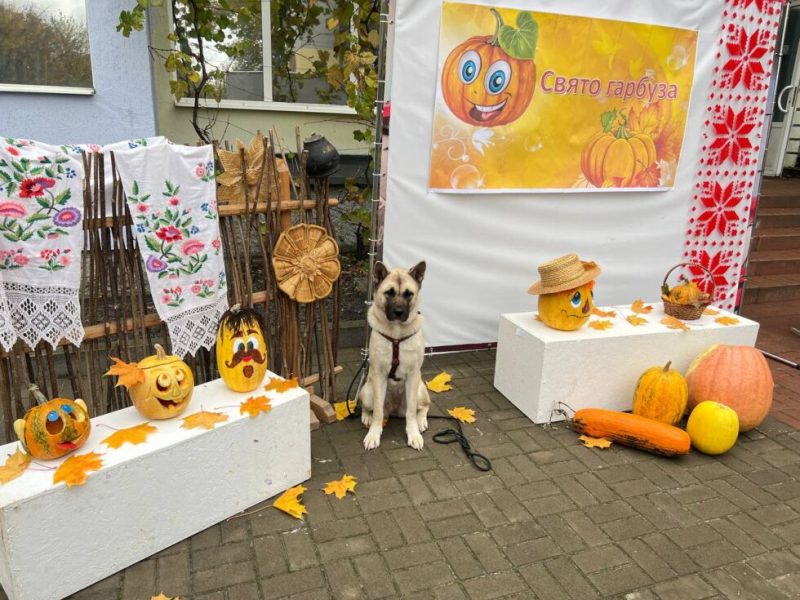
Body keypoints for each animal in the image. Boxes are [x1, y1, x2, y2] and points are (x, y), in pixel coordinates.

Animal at [360, 260, 432, 448]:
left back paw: (421, 421)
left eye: (408, 294)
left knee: (423, 407)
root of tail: (393, 410)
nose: (399, 312)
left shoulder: (413, 375)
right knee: (368, 407)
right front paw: (374, 434)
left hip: (419, 390)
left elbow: (411, 413)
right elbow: (377, 413)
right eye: (389, 293)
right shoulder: (378, 375)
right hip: (368, 392)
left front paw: (413, 434)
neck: (396, 335)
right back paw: (366, 417)